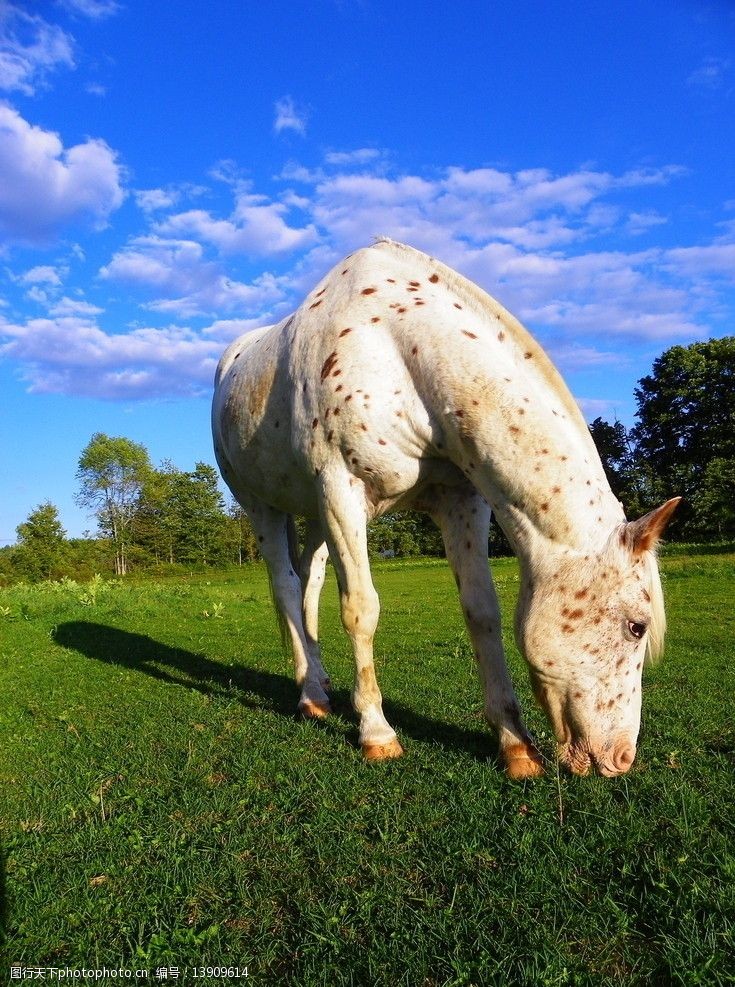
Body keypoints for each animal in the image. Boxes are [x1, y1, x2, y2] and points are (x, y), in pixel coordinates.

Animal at [211, 237, 680, 780]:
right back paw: (310, 695)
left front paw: (515, 745)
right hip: (265, 506)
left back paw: (321, 681)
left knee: (309, 579)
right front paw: (377, 733)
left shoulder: (461, 501)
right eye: (636, 626)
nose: (621, 759)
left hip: (315, 515)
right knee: (286, 587)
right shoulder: (341, 489)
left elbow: (482, 612)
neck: (398, 351)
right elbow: (361, 609)